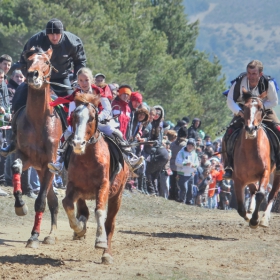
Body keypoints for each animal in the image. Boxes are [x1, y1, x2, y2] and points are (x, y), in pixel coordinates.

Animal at [62, 92, 129, 264]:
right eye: (74, 116)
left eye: (91, 118)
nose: (78, 143)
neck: (88, 159)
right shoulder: (73, 186)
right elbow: (67, 203)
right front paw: (79, 229)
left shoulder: (103, 186)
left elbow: (99, 211)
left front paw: (100, 241)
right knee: (83, 212)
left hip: (117, 196)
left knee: (110, 223)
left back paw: (107, 254)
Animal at [228, 91, 280, 229]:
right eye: (244, 108)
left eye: (261, 109)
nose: (251, 128)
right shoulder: (238, 178)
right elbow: (241, 208)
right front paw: (249, 216)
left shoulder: (265, 173)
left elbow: (261, 194)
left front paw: (255, 220)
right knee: (253, 190)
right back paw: (251, 211)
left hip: (276, 174)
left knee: (272, 194)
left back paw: (264, 219)